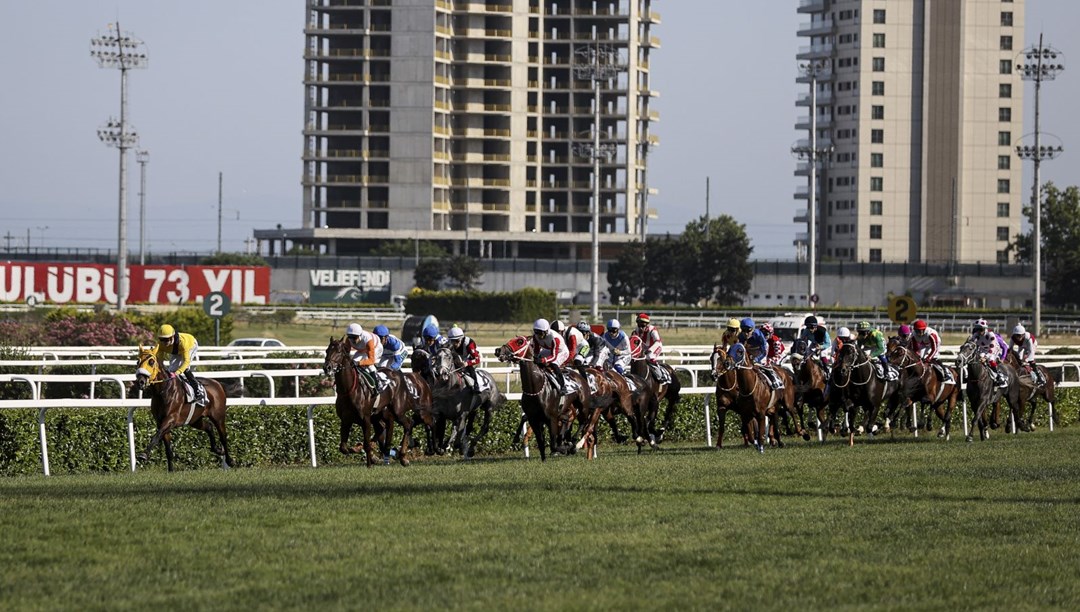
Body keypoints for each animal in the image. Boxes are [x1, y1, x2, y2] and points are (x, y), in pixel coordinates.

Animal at [319, 336, 408, 466]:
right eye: (326, 350)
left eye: (339, 352)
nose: (327, 367)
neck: (349, 390)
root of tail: (395, 373)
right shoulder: (346, 420)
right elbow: (343, 448)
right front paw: (358, 449)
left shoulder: (366, 419)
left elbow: (366, 445)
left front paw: (369, 463)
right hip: (377, 415)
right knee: (382, 428)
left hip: (395, 412)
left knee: (405, 425)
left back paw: (401, 456)